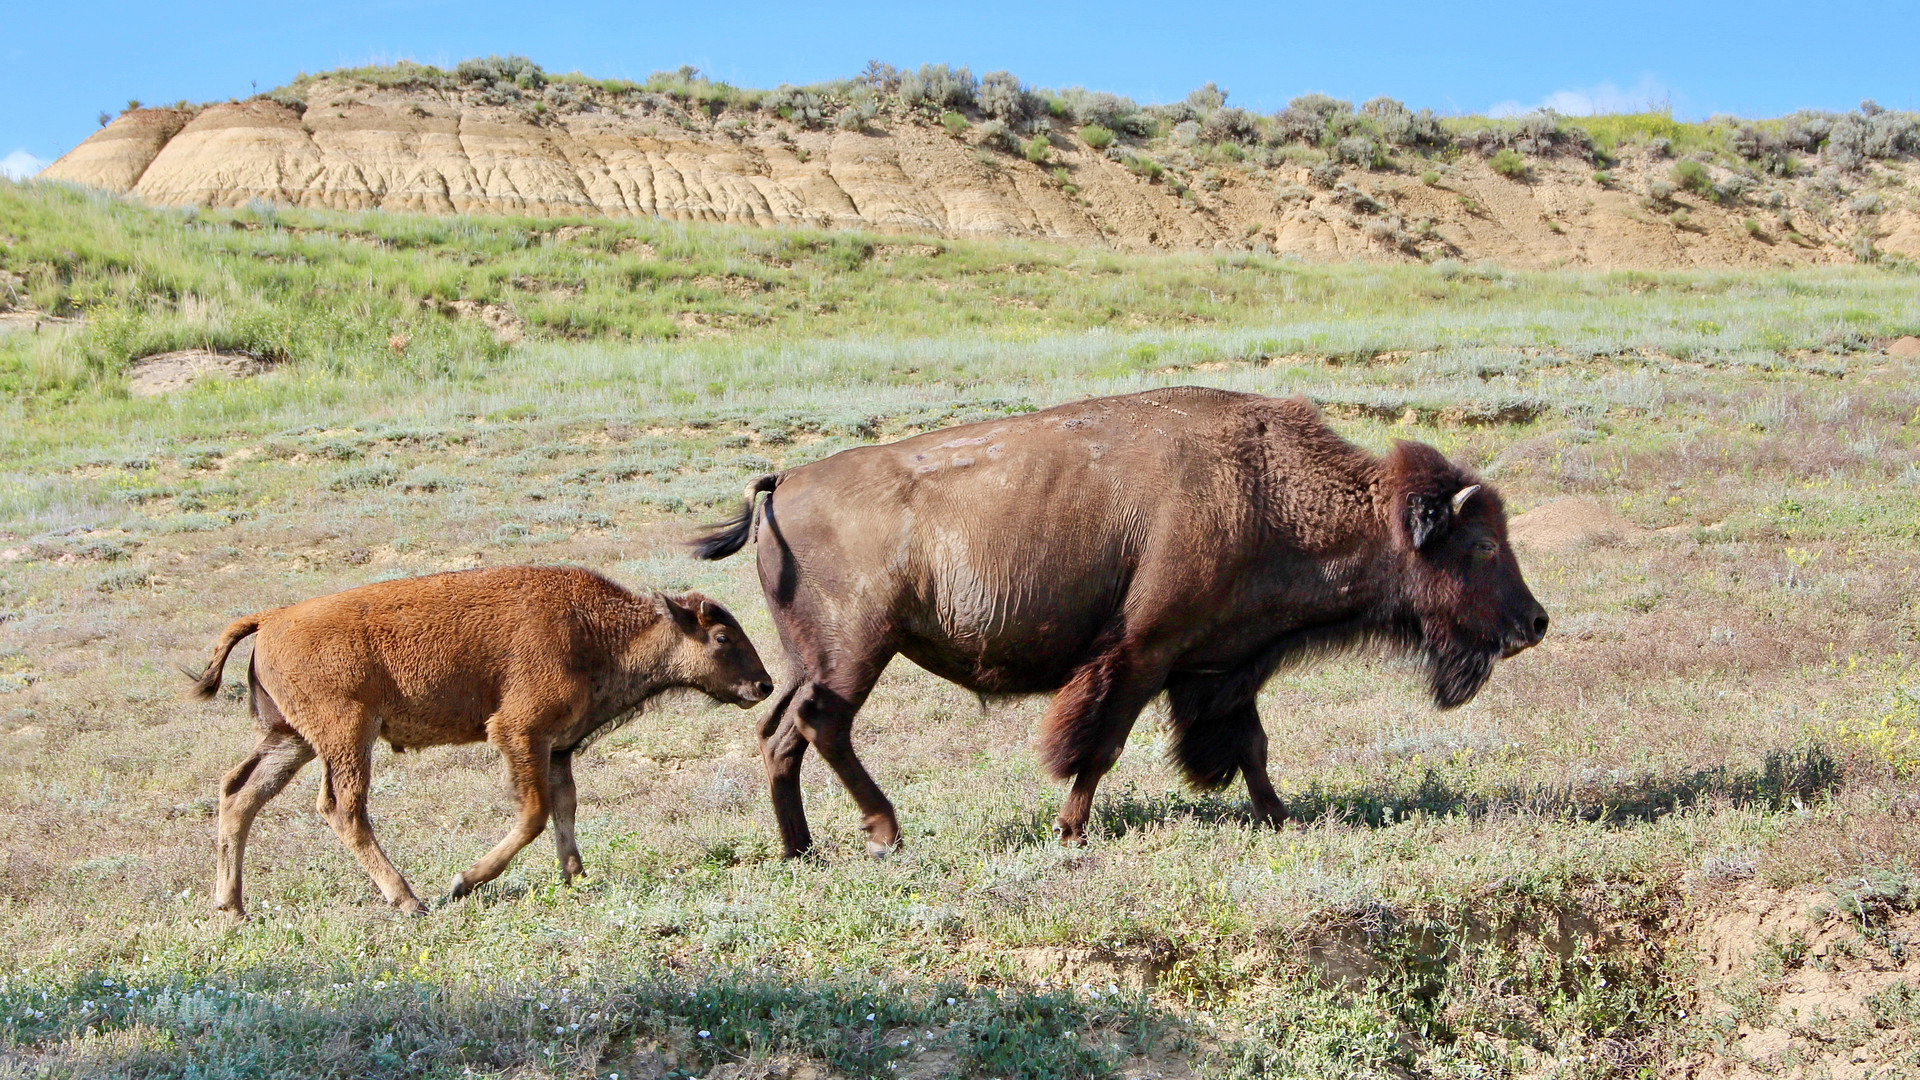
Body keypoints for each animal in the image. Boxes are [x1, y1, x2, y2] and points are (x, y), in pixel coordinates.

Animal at [187, 557, 768, 910]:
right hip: (347, 738)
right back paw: (411, 901)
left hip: (292, 740)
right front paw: (464, 882)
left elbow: (565, 807)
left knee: (239, 794)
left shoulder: (558, 747)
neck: (598, 629)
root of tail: (271, 618)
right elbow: (534, 813)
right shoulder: (519, 733)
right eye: (721, 637)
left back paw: (232, 907)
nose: (763, 685)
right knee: (342, 809)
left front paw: (575, 878)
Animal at [698, 382, 1551, 853]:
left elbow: (1252, 746)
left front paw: (1282, 817)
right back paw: (884, 831)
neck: (1264, 488)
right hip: (856, 651)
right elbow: (1098, 746)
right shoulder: (1144, 653)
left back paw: (801, 849)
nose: (1535, 623)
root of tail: (785, 481)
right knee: (823, 724)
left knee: (781, 732)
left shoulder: (1220, 664)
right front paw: (1072, 831)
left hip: (812, 656)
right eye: (1479, 545)